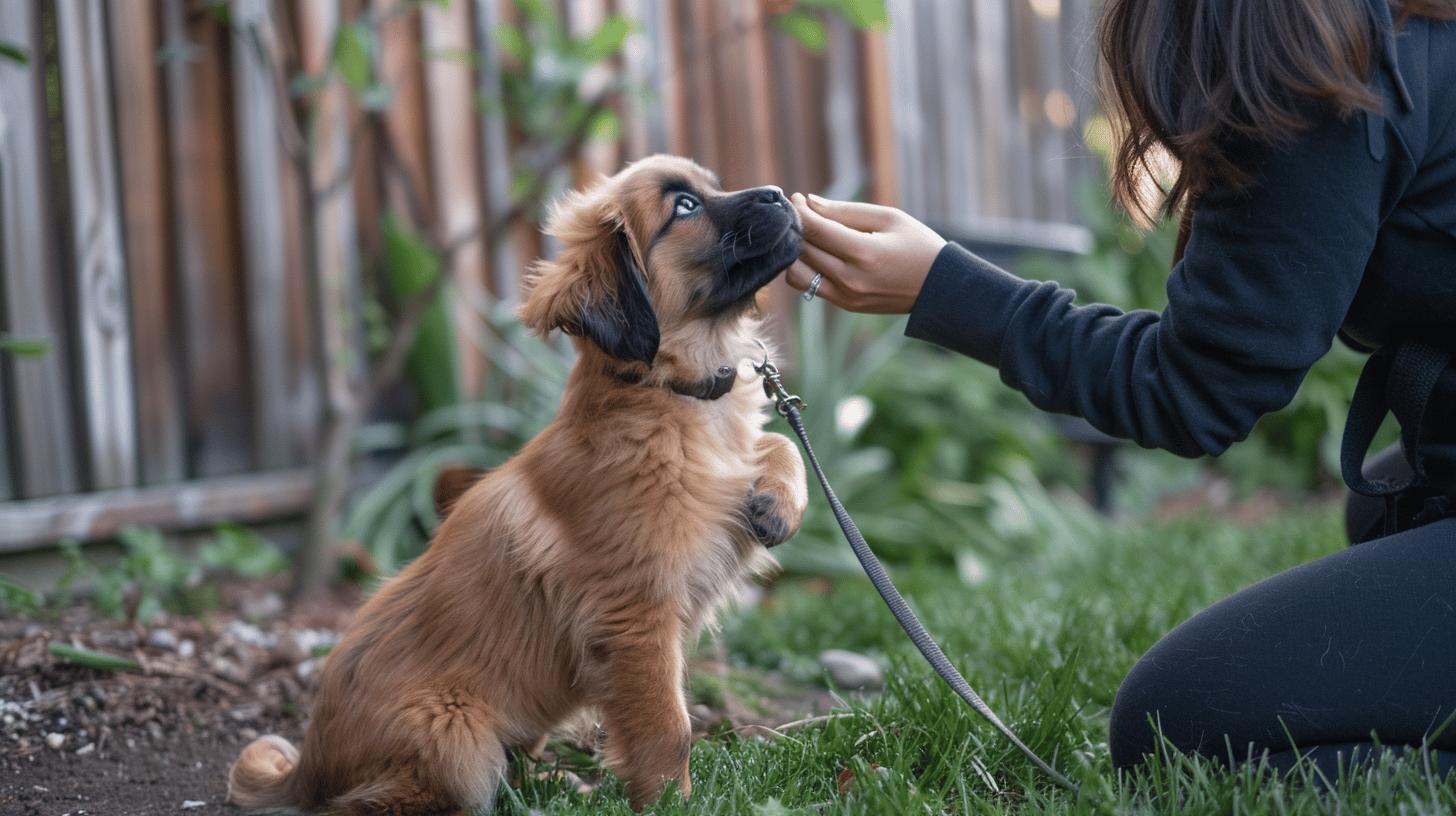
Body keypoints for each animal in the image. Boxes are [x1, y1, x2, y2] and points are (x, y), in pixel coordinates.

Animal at [232, 155, 815, 810]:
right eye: (684, 207)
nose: (779, 194)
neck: (671, 393)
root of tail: (308, 765)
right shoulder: (636, 615)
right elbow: (669, 728)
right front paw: (673, 803)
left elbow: (779, 442)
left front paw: (778, 502)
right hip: (453, 735)